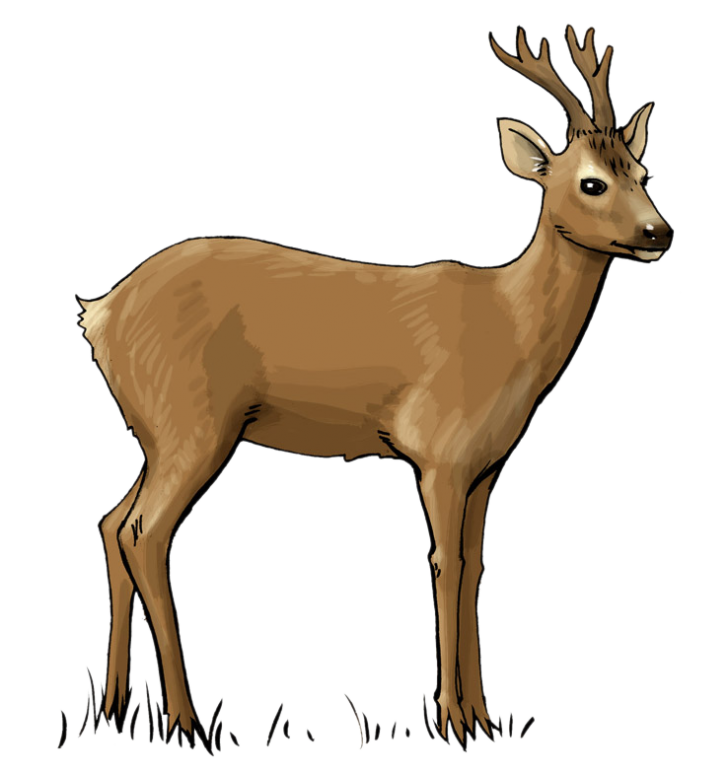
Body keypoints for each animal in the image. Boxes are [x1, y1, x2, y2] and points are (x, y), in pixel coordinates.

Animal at [74, 23, 673, 751]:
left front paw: (485, 717)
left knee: (111, 521)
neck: (510, 331)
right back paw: (188, 721)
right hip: (194, 421)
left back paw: (113, 705)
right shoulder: (438, 452)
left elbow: (477, 565)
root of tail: (98, 314)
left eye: (643, 173)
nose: (660, 232)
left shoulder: (486, 464)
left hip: (156, 432)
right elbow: (445, 564)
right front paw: (452, 720)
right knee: (145, 532)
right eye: (590, 181)